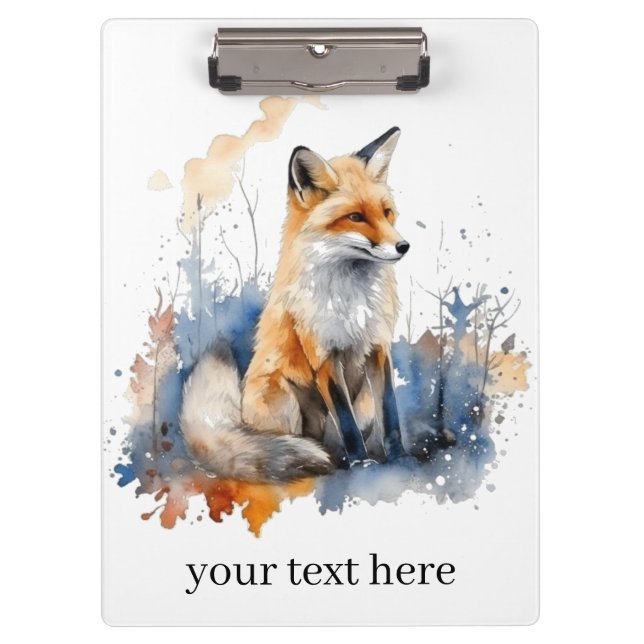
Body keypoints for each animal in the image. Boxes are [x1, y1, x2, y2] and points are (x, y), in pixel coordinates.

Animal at [180, 127, 410, 483]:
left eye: (386, 213)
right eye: (355, 217)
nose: (403, 246)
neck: (352, 300)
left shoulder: (378, 347)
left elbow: (391, 412)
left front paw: (398, 456)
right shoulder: (324, 356)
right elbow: (347, 423)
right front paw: (361, 463)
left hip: (363, 403)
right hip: (283, 401)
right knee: (292, 444)